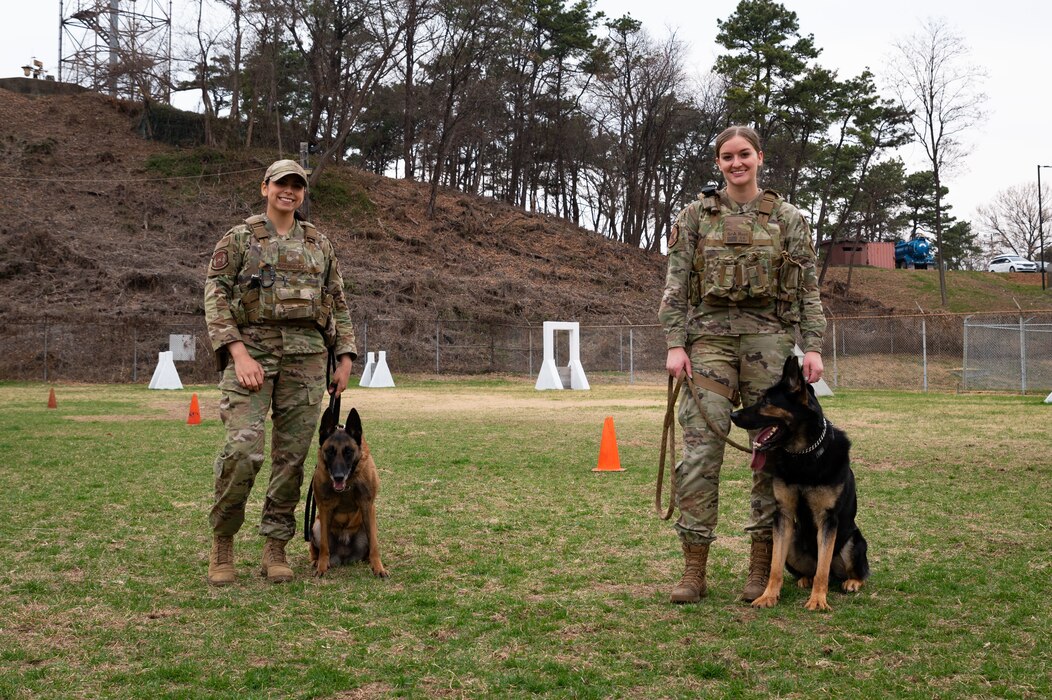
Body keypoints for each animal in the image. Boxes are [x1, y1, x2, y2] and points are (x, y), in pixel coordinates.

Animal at [732, 355, 871, 606]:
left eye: (766, 401)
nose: (732, 415)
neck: (803, 455)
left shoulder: (828, 520)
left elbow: (823, 569)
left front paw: (817, 601)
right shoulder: (784, 515)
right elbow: (775, 566)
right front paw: (768, 596)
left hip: (853, 542)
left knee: (850, 572)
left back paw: (852, 582)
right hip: (794, 541)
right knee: (810, 570)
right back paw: (805, 579)